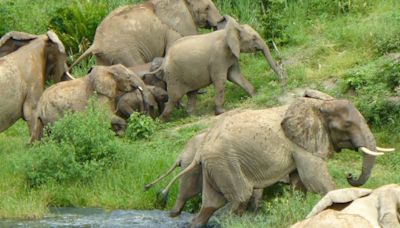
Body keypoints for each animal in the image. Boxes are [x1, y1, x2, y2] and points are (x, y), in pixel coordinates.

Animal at [70, 0, 223, 68]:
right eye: (207, 8)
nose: (221, 20)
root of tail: (96, 43)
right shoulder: (172, 29)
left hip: (105, 56)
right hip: (123, 50)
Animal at [156, 90, 394, 227]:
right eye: (347, 124)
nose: (350, 175)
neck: (316, 106)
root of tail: (204, 146)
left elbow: (299, 183)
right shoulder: (300, 145)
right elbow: (315, 179)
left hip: (216, 164)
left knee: (211, 203)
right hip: (225, 162)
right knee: (240, 196)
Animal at [158, 16, 286, 121]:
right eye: (254, 38)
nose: (282, 81)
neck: (229, 31)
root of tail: (165, 59)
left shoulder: (231, 54)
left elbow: (235, 76)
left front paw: (255, 96)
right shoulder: (218, 57)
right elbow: (221, 79)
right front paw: (221, 112)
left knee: (192, 93)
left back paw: (195, 116)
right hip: (173, 75)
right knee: (174, 97)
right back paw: (161, 121)